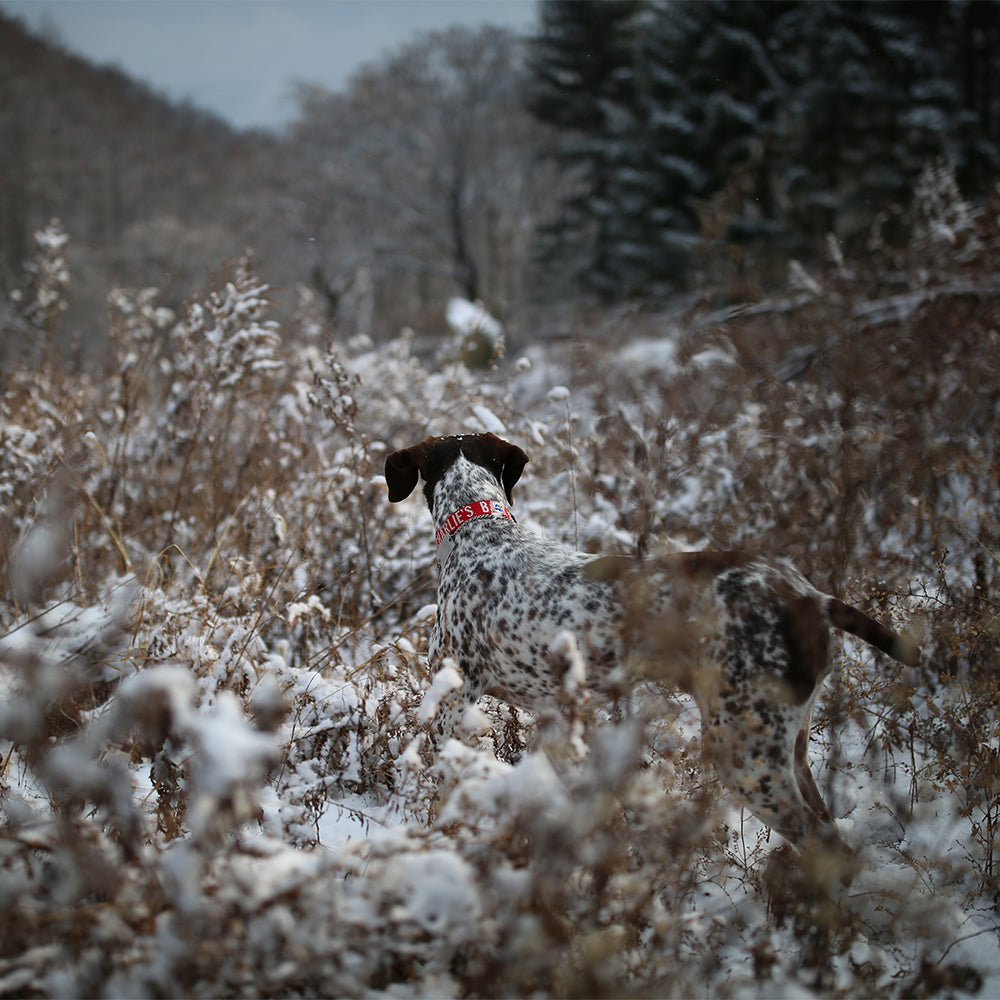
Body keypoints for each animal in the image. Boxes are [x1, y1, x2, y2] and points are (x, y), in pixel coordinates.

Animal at [384, 434, 920, 848]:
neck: (481, 534)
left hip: (745, 751)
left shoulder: (451, 709)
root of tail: (809, 597)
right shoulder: (555, 717)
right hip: (789, 749)